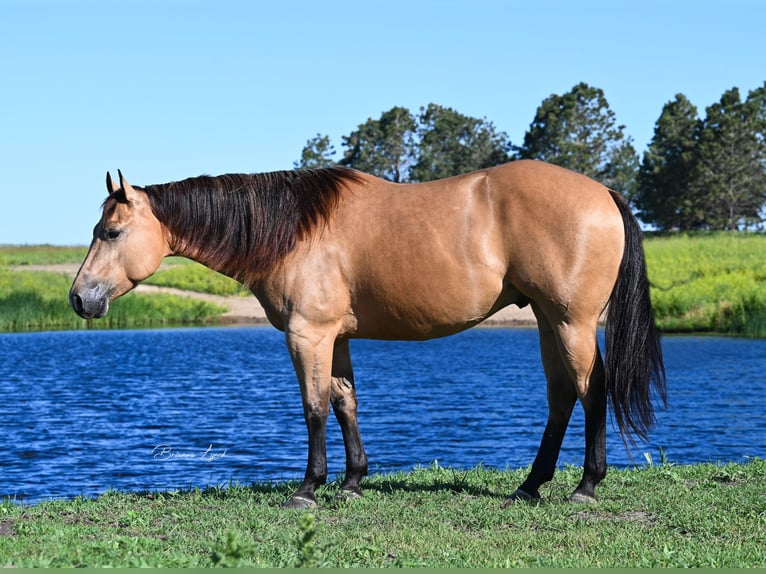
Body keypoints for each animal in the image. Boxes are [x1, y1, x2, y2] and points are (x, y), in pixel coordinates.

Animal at [70, 160, 664, 510]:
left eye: (112, 232)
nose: (80, 298)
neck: (294, 231)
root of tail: (604, 192)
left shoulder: (306, 335)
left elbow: (312, 408)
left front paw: (309, 488)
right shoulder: (336, 338)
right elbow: (344, 403)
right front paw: (354, 481)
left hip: (571, 322)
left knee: (592, 391)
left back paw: (586, 485)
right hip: (546, 319)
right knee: (562, 396)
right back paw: (531, 484)